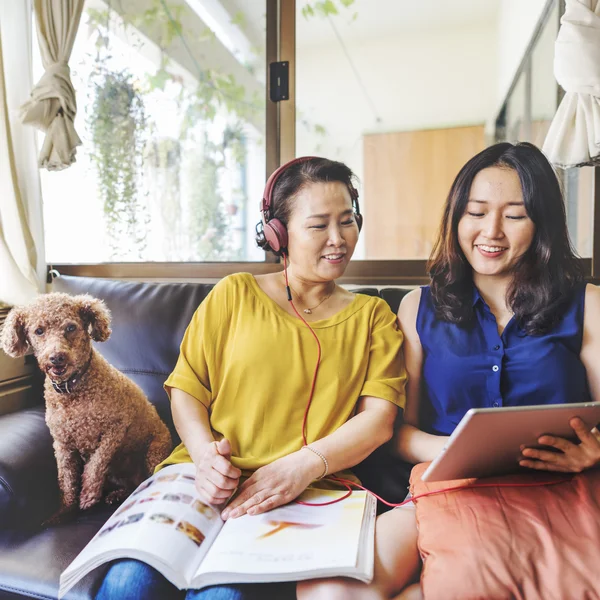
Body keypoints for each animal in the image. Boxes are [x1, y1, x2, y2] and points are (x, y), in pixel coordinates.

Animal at [0, 292, 173, 516]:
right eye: (39, 331)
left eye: (70, 328)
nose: (57, 357)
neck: (72, 390)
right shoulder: (62, 443)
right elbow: (66, 479)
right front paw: (64, 511)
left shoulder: (114, 430)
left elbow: (95, 464)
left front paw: (88, 496)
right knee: (131, 484)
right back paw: (117, 494)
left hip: (154, 452)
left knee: (144, 479)